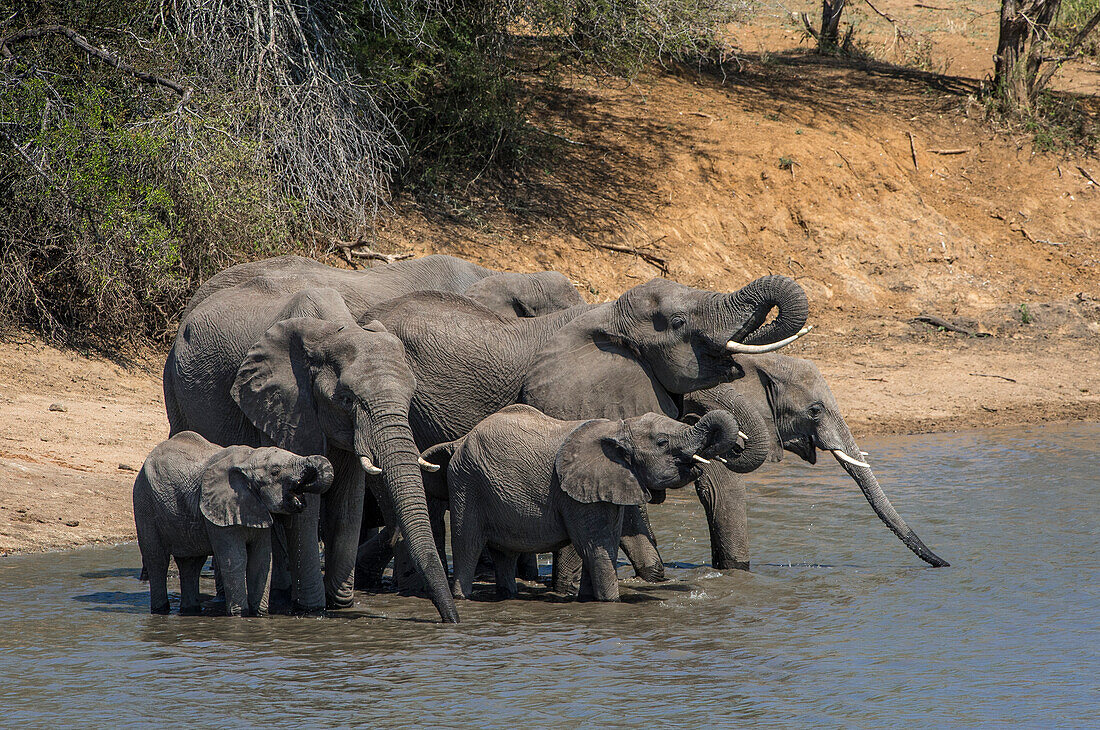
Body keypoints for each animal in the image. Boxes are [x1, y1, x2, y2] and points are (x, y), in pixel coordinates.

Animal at [134, 430, 330, 620]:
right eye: (275, 471)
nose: (302, 488)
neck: (250, 458)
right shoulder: (220, 513)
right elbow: (235, 559)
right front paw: (239, 616)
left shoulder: (257, 508)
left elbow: (262, 561)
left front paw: (260, 615)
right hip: (144, 504)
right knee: (157, 560)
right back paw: (161, 610)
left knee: (191, 564)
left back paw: (189, 611)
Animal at [162, 281, 459, 624]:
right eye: (346, 399)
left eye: (411, 396)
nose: (451, 621)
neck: (332, 331)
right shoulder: (287, 405)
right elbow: (308, 507)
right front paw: (313, 608)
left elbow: (348, 504)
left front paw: (340, 605)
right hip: (175, 386)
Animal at [420, 404, 739, 598]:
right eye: (662, 442)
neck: (618, 429)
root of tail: (460, 440)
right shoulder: (576, 494)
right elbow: (596, 547)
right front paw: (611, 602)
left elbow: (602, 545)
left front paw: (589, 598)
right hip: (467, 482)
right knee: (468, 543)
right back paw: (461, 597)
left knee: (505, 554)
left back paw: (508, 594)